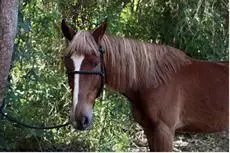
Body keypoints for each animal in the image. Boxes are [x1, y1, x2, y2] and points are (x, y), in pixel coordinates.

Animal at [60, 19, 228, 151]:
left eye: (95, 62)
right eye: (67, 64)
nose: (79, 118)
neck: (154, 82)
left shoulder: (164, 132)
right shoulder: (149, 130)